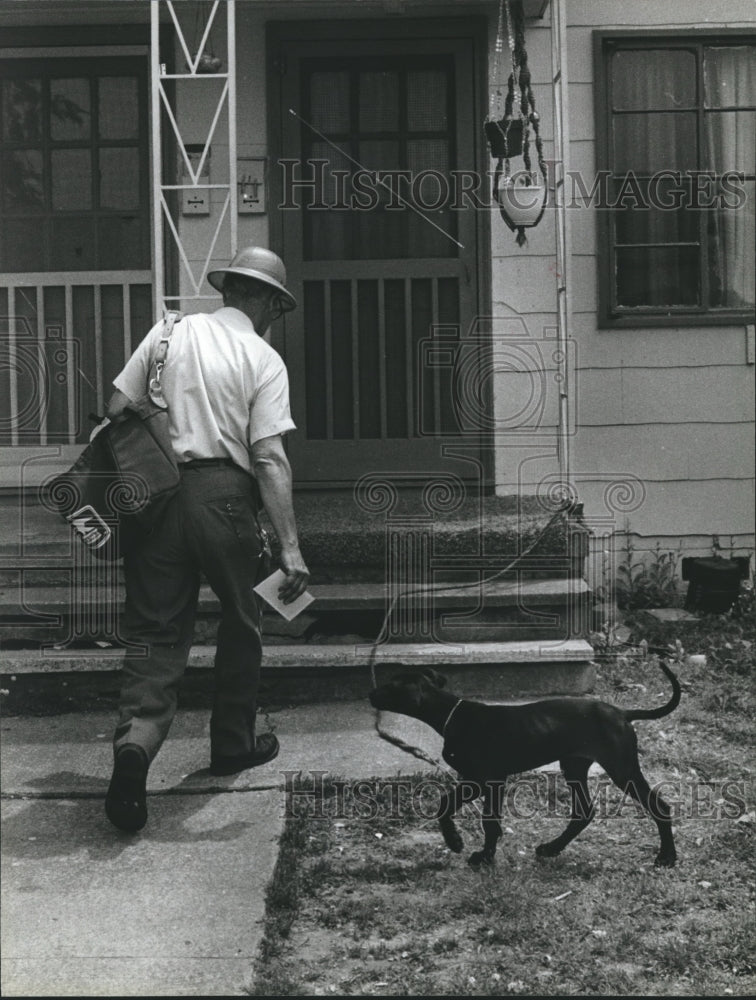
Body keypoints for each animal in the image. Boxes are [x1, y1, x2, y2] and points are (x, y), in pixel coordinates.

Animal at [370, 668, 684, 872]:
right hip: (574, 766)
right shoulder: (475, 780)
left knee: (660, 807)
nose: (371, 694)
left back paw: (667, 858)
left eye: (390, 686)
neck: (452, 714)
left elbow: (488, 821)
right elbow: (446, 804)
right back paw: (551, 848)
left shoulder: (489, 780)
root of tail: (623, 713)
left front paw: (481, 856)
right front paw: (458, 842)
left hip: (622, 768)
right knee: (583, 812)